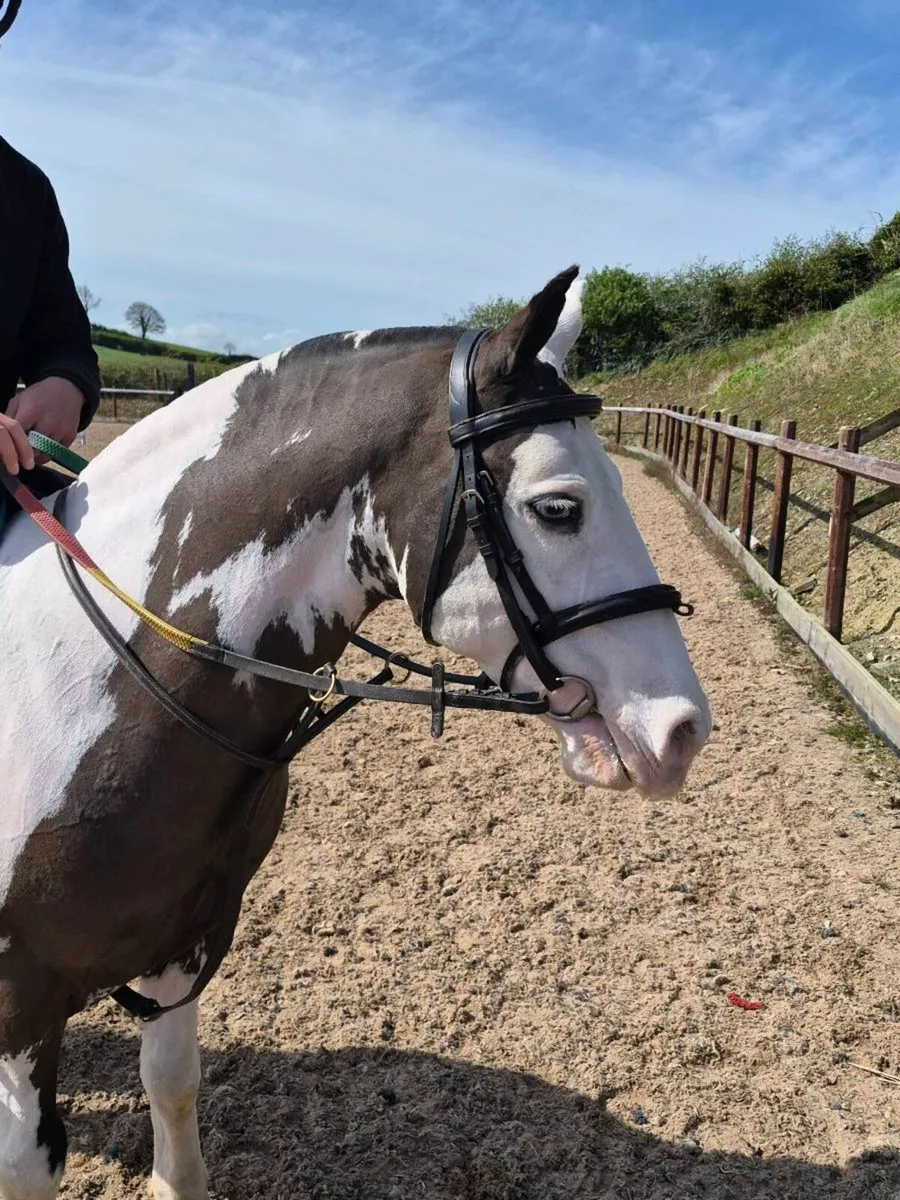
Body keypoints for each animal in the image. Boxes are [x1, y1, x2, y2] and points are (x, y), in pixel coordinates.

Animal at [0, 266, 710, 1199]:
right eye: (559, 508)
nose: (682, 729)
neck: (92, 688)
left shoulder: (185, 943)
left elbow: (173, 1085)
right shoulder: (18, 999)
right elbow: (26, 1161)